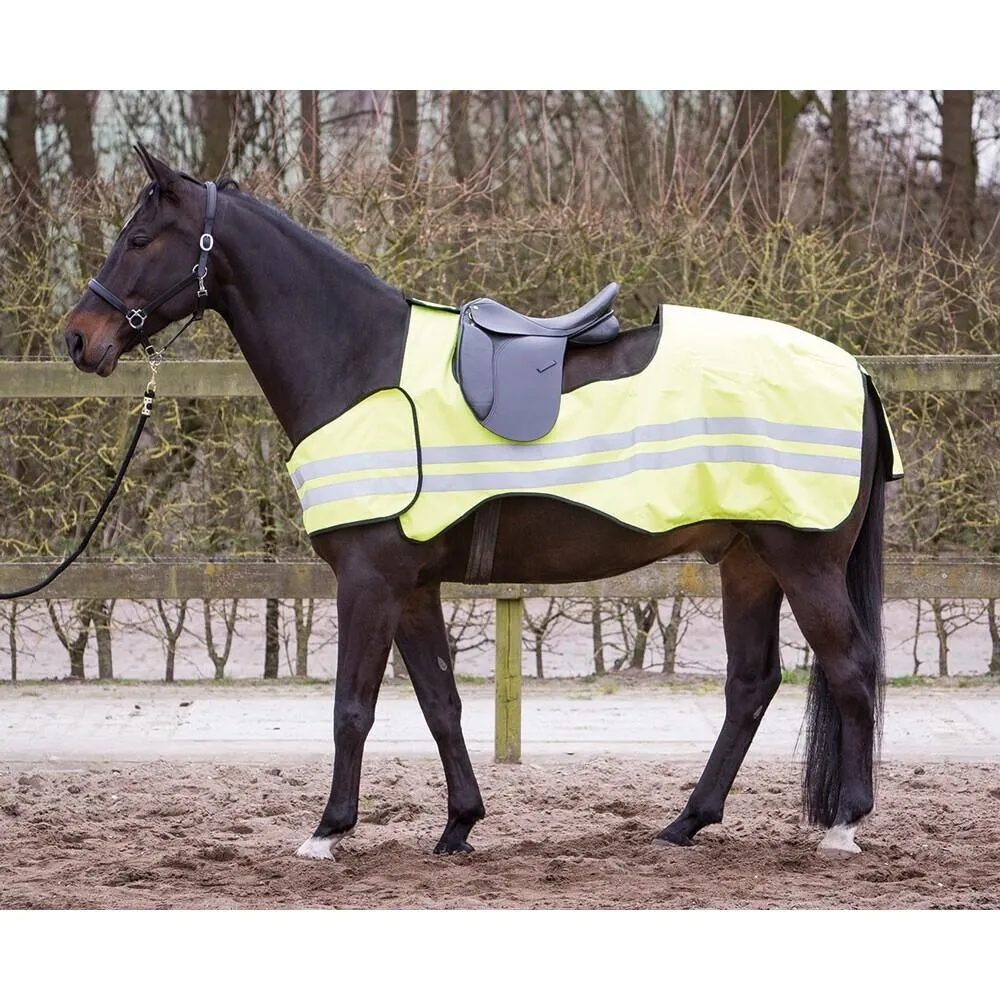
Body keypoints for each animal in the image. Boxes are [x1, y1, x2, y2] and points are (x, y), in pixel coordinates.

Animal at [63, 145, 892, 862]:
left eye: (140, 238)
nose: (78, 339)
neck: (358, 365)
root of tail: (854, 370)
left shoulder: (368, 580)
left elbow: (352, 707)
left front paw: (329, 831)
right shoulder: (411, 585)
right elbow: (439, 703)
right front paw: (460, 823)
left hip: (802, 560)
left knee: (850, 667)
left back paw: (845, 824)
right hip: (748, 561)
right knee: (751, 685)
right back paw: (686, 821)